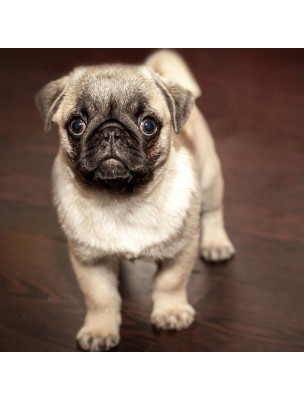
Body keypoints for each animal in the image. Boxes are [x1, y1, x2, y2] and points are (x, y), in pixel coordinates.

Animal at [36, 49, 235, 350]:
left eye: (149, 125)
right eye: (77, 125)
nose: (111, 131)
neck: (123, 199)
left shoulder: (180, 250)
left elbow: (170, 283)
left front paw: (171, 312)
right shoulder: (90, 261)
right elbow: (100, 297)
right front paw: (100, 330)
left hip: (210, 177)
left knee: (213, 211)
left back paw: (216, 244)